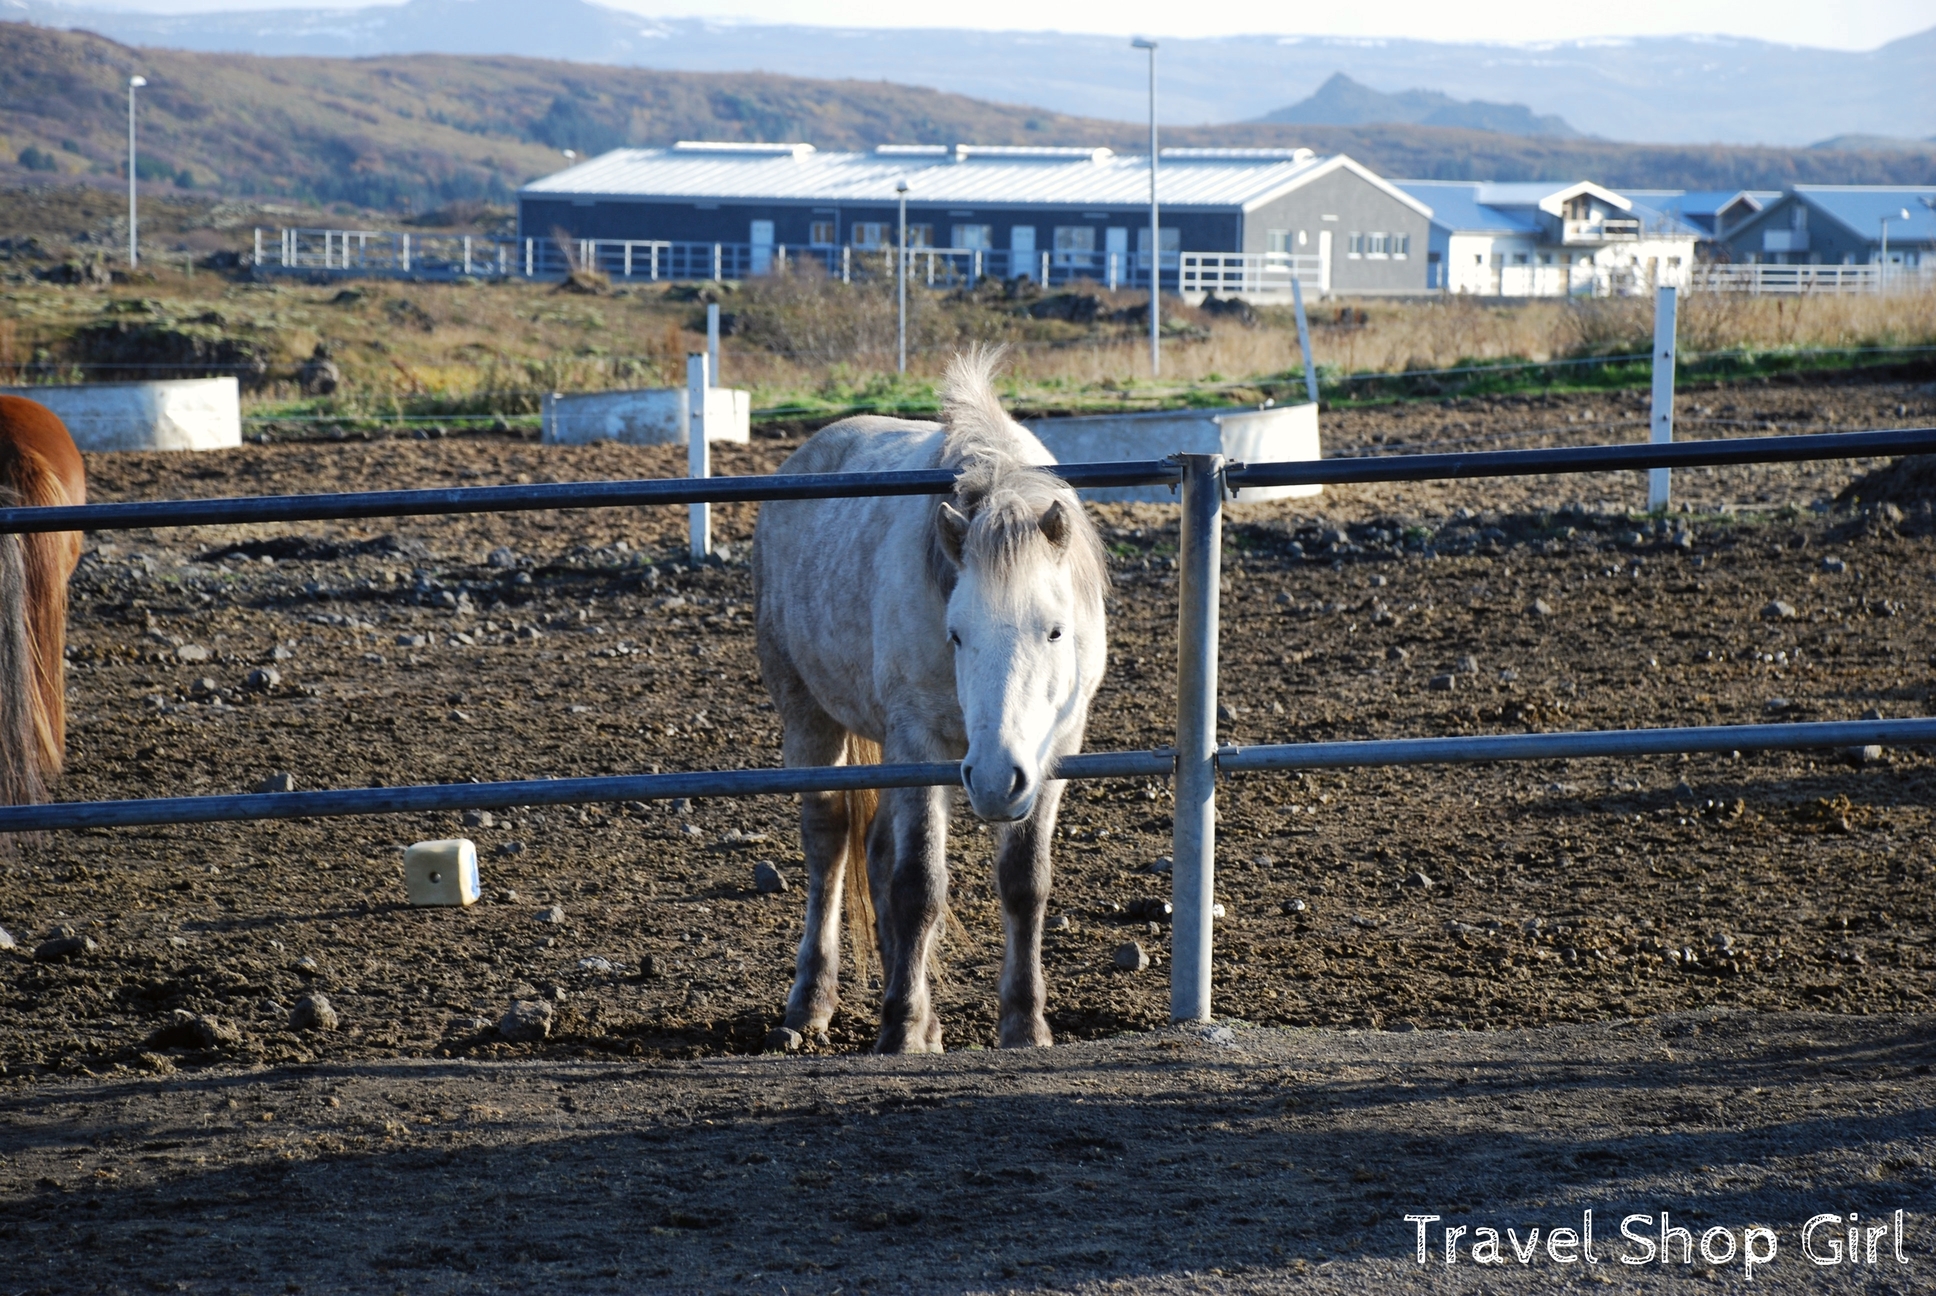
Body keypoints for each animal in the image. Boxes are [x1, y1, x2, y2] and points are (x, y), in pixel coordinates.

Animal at [751, 350, 1107, 1053]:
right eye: (956, 632)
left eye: (1055, 630)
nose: (995, 779)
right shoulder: (919, 741)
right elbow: (919, 886)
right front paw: (900, 1029)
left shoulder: (1054, 751)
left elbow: (1025, 883)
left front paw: (1024, 1023)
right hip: (811, 718)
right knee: (831, 846)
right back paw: (814, 1002)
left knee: (877, 851)